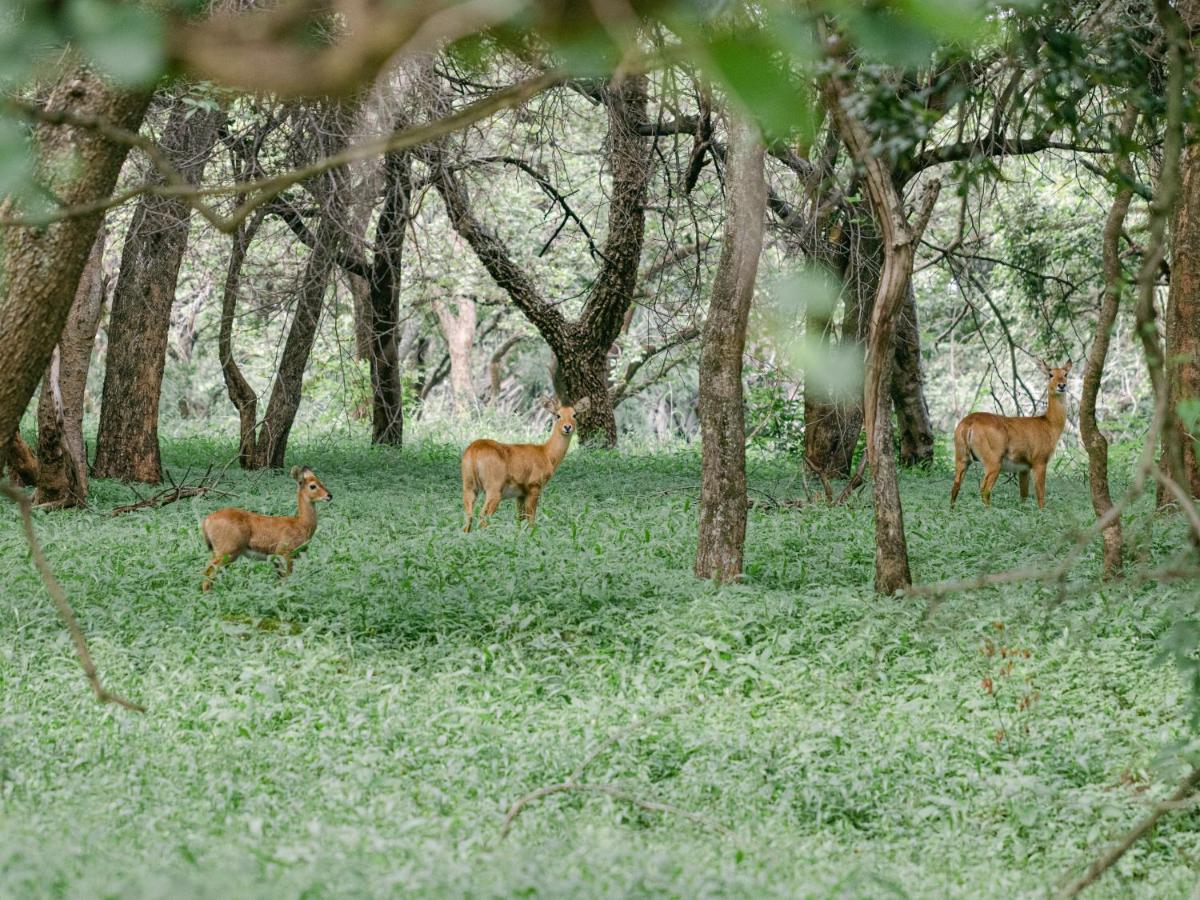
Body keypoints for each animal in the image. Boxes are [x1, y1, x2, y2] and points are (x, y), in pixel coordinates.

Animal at [200, 465, 333, 592]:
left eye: (321, 481)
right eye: (312, 486)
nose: (329, 495)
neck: (301, 524)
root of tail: (206, 521)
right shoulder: (285, 552)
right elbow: (286, 579)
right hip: (226, 550)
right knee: (207, 573)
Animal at [458, 398, 590, 532]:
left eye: (575, 415)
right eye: (558, 415)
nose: (567, 427)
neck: (546, 453)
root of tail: (474, 449)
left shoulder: (520, 494)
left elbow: (520, 519)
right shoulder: (534, 487)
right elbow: (531, 518)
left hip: (469, 486)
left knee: (468, 518)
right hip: (494, 489)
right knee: (482, 517)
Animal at [950, 362, 1075, 513]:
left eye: (1066, 374)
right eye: (1050, 374)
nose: (1061, 385)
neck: (1049, 424)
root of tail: (968, 423)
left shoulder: (1024, 468)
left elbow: (1023, 495)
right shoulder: (1039, 461)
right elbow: (1040, 495)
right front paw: (1042, 514)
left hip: (962, 457)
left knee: (955, 485)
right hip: (993, 461)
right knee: (984, 489)